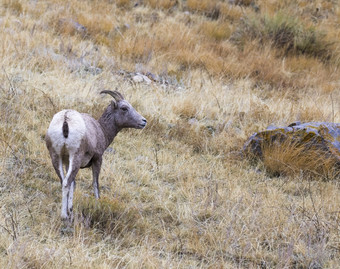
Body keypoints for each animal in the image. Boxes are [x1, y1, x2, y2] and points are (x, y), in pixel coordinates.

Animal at [45, 91, 146, 219]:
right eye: (124, 108)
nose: (143, 121)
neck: (101, 129)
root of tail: (65, 119)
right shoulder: (98, 159)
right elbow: (95, 184)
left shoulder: (67, 162)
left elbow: (74, 184)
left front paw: (71, 209)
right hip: (76, 157)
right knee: (67, 183)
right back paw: (64, 216)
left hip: (55, 158)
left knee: (64, 181)